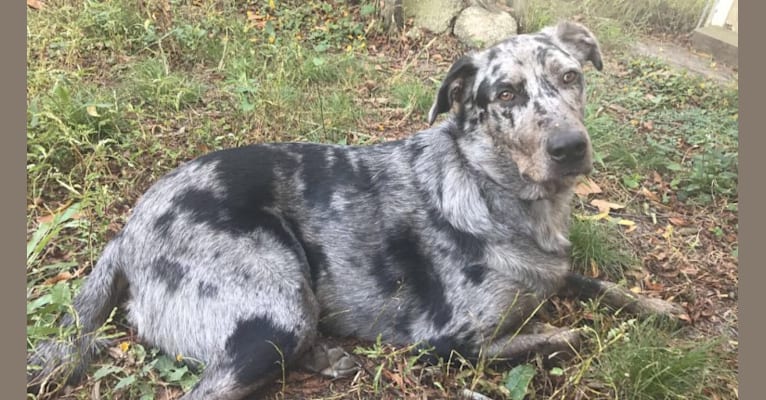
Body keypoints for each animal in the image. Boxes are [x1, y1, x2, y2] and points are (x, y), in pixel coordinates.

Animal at [27, 21, 684, 400]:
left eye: (570, 77)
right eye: (506, 94)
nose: (571, 147)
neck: (489, 187)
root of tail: (130, 229)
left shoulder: (554, 268)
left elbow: (592, 282)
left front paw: (657, 307)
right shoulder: (445, 341)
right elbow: (557, 338)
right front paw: (569, 331)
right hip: (275, 308)